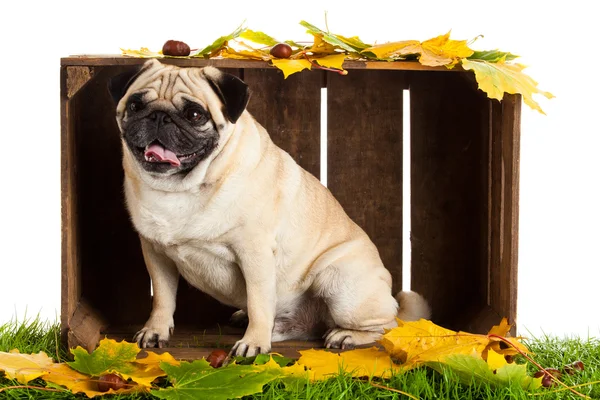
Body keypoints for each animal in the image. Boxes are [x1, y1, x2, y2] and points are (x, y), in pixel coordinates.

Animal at [110, 58, 428, 356]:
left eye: (195, 114)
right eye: (136, 105)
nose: (159, 116)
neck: (181, 188)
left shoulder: (255, 253)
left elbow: (259, 301)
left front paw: (253, 344)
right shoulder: (156, 253)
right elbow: (163, 298)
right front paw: (156, 330)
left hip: (341, 284)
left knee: (386, 326)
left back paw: (345, 335)